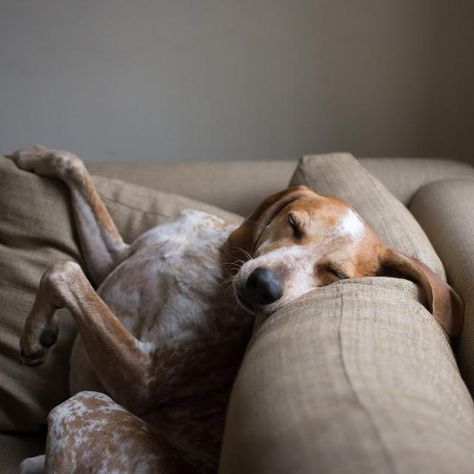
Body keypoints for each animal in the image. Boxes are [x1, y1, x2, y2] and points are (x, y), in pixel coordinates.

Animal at [8, 146, 462, 472]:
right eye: (293, 224)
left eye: (334, 272)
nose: (263, 287)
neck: (218, 259)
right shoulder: (115, 259)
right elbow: (74, 167)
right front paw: (31, 157)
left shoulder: (143, 374)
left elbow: (64, 270)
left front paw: (34, 333)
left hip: (82, 404)